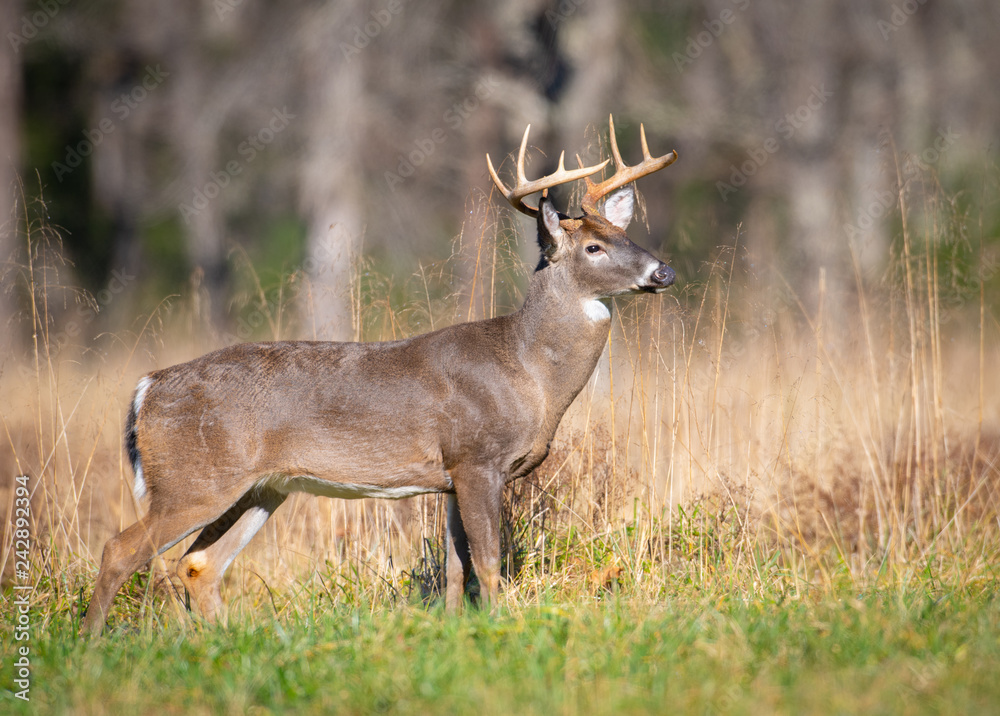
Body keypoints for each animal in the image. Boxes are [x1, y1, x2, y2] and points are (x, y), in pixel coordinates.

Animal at [84, 117, 680, 636]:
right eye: (594, 247)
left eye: (628, 235)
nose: (664, 272)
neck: (529, 372)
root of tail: (147, 388)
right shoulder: (476, 457)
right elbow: (488, 563)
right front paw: (502, 630)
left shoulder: (449, 475)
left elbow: (456, 569)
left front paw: (455, 633)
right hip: (194, 478)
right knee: (121, 549)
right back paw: (89, 647)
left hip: (260, 486)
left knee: (200, 563)